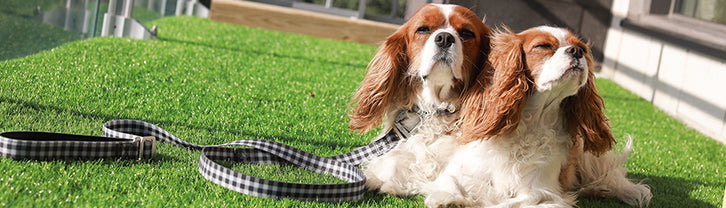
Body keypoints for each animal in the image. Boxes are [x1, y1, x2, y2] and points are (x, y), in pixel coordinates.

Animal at [348, 4, 494, 197]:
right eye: (423, 29)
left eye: (467, 33)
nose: (444, 38)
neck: (436, 107)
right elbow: (394, 160)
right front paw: (381, 178)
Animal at [426, 26, 656, 208]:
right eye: (543, 46)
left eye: (581, 47)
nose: (577, 51)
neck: (532, 121)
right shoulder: (460, 169)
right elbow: (449, 183)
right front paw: (452, 199)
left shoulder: (542, 191)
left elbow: (510, 202)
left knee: (610, 176)